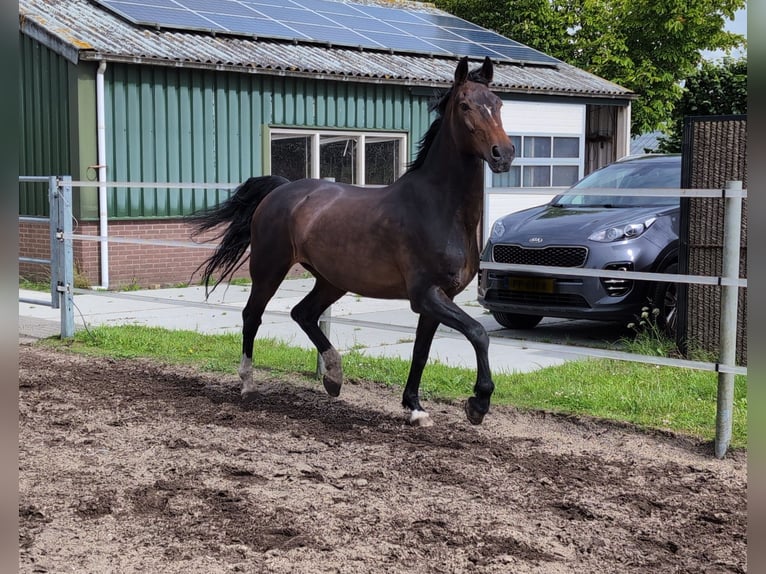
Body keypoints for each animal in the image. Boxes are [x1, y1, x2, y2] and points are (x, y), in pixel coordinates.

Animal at [189, 56, 515, 427]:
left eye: (498, 104)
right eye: (464, 105)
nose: (503, 154)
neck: (438, 208)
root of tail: (281, 190)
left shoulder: (439, 297)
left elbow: (421, 351)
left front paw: (415, 408)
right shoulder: (426, 295)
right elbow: (478, 333)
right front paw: (478, 404)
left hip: (332, 280)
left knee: (303, 313)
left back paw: (333, 377)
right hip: (269, 269)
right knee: (251, 316)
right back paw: (248, 384)